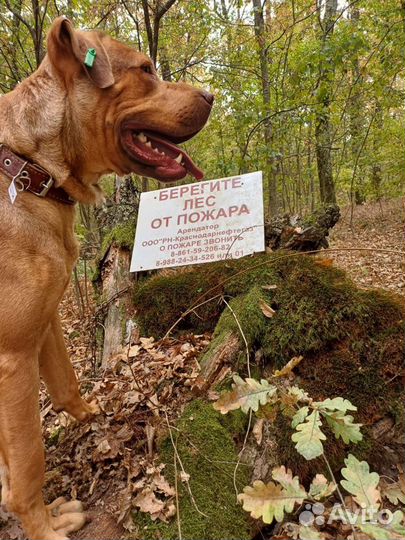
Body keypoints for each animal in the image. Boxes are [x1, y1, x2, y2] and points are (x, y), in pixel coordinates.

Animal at [0, 15, 213, 540]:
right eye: (145, 69)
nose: (211, 95)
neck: (31, 168)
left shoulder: (44, 322)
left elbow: (65, 384)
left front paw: (95, 415)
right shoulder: (13, 356)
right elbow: (29, 462)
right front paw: (45, 528)